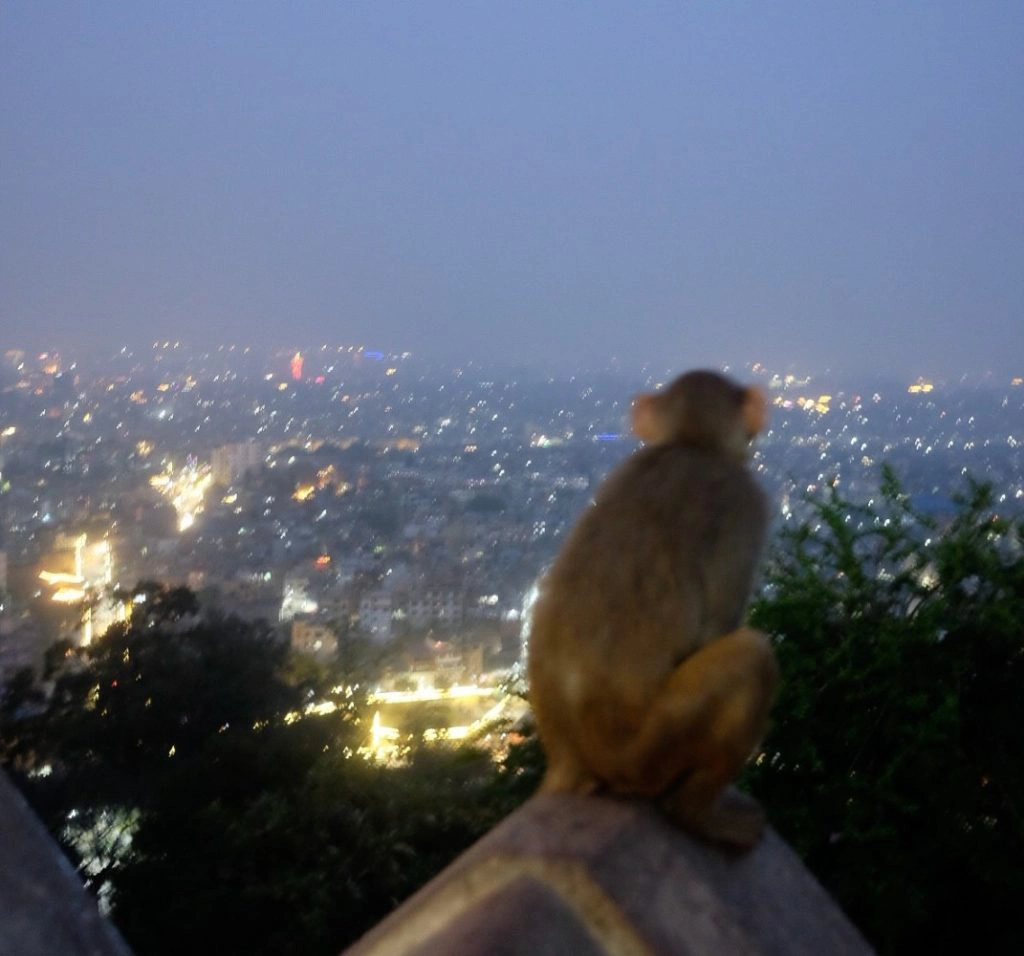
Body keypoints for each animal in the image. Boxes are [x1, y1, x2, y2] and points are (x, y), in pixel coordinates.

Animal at [527, 369, 778, 850]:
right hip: (649, 752)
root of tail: (569, 760)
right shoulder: (747, 501)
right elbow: (718, 628)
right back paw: (697, 815)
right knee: (753, 655)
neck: (691, 442)